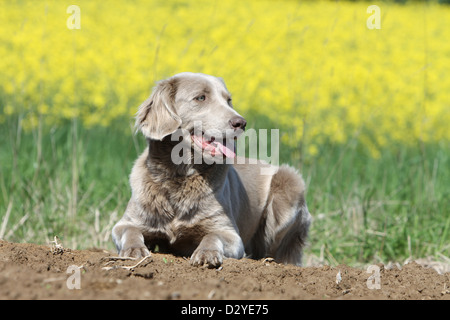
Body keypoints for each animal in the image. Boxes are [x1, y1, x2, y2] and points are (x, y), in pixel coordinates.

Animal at [111, 72, 312, 268]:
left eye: (228, 100)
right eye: (201, 97)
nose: (241, 123)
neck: (181, 176)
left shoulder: (229, 232)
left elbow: (212, 235)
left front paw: (206, 253)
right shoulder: (127, 222)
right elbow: (130, 230)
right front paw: (134, 250)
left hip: (289, 183)